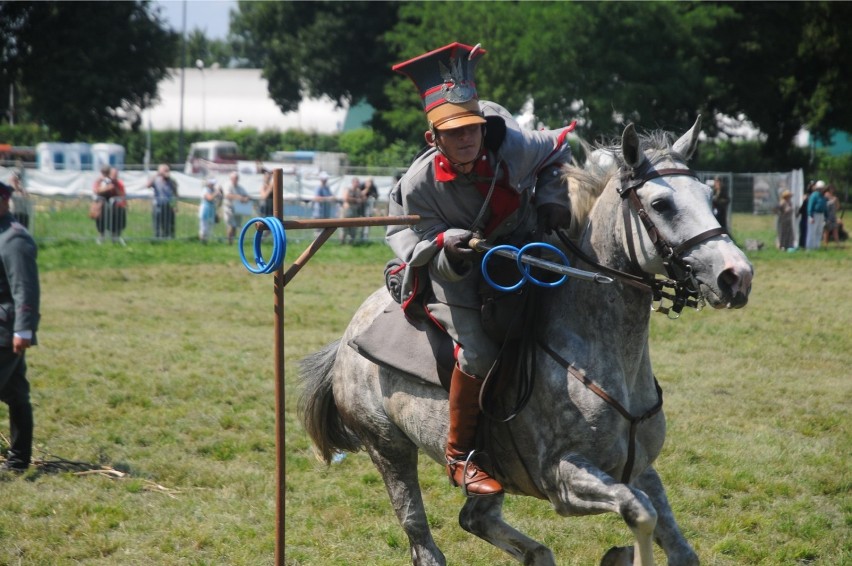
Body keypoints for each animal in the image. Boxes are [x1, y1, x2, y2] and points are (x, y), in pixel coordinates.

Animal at [298, 117, 752, 564]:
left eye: (710, 197)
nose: (736, 276)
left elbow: (677, 544)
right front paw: (626, 553)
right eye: (661, 205)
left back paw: (537, 554)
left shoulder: (641, 469)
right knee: (421, 536)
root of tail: (348, 336)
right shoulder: (564, 478)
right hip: (388, 448)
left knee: (475, 518)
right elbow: (638, 511)